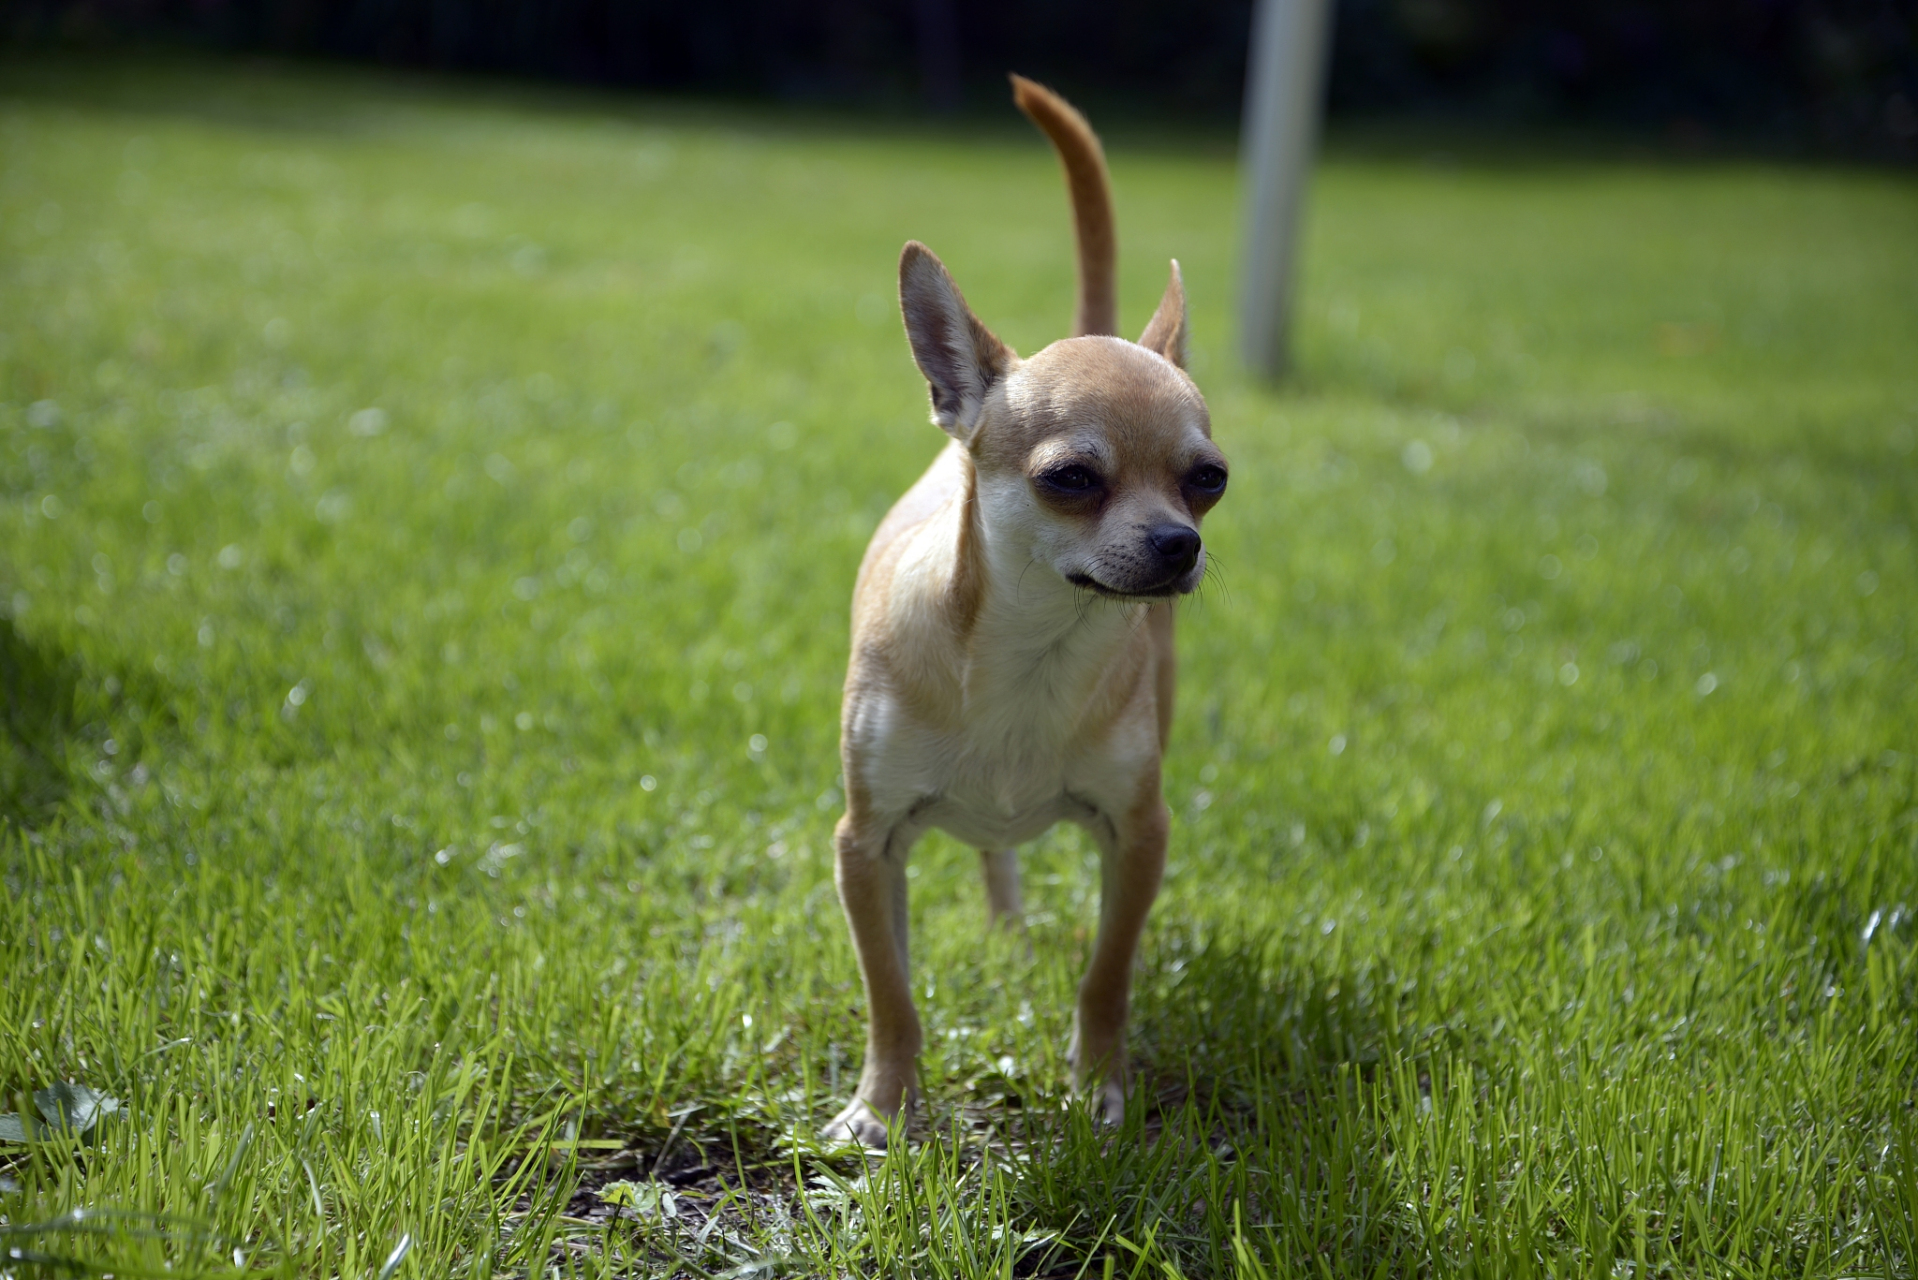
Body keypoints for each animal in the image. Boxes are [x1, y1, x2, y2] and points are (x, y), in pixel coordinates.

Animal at [824, 75, 1227, 1143]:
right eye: (1071, 479)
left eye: (1208, 480)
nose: (1179, 542)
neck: (1032, 655)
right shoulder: (865, 847)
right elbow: (890, 993)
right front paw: (883, 1107)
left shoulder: (1140, 833)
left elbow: (1106, 976)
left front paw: (1099, 1085)